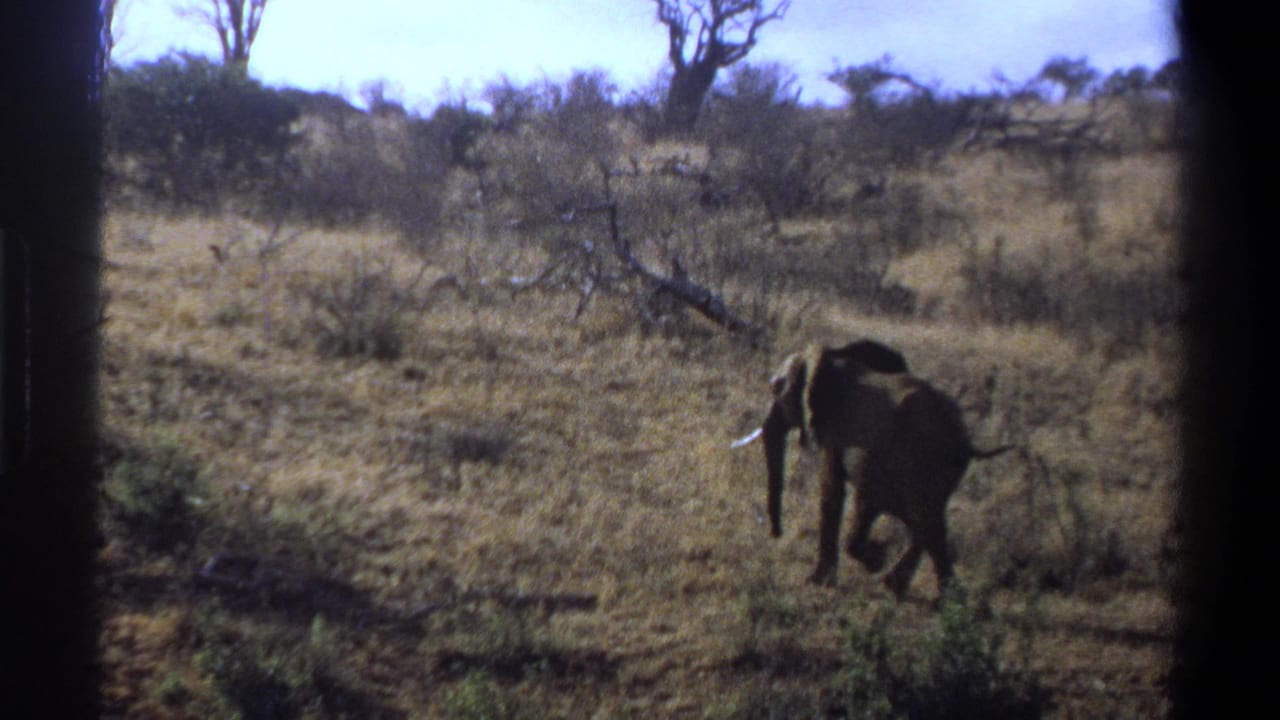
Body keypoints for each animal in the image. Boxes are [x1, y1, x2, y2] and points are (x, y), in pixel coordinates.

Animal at [740, 339, 1012, 599]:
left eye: (776, 388)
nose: (776, 533)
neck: (833, 357)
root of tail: (964, 441)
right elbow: (865, 499)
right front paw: (875, 558)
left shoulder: (837, 430)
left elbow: (832, 490)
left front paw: (819, 581)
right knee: (925, 522)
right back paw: (897, 586)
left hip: (924, 462)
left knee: (926, 523)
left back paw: (947, 601)